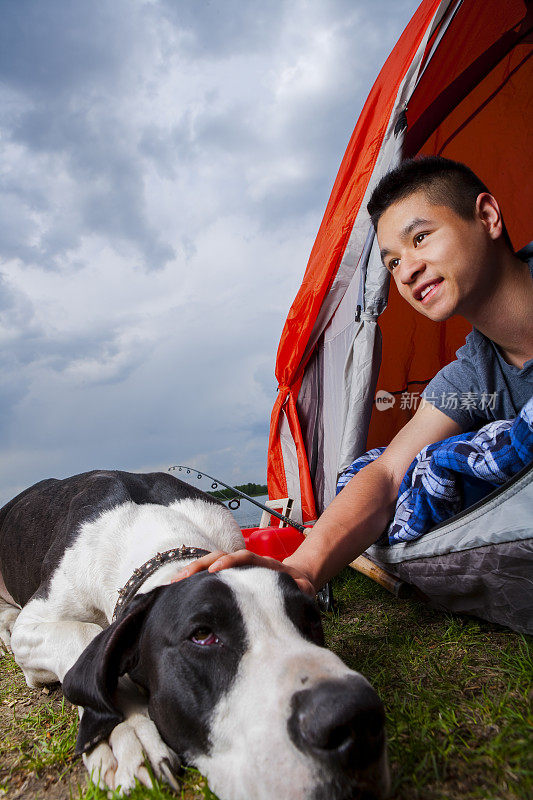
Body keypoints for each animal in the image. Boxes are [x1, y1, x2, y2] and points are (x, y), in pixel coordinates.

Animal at [1, 468, 390, 800]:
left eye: (310, 620)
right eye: (202, 636)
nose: (356, 718)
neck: (165, 543)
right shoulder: (34, 625)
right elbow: (82, 636)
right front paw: (124, 733)